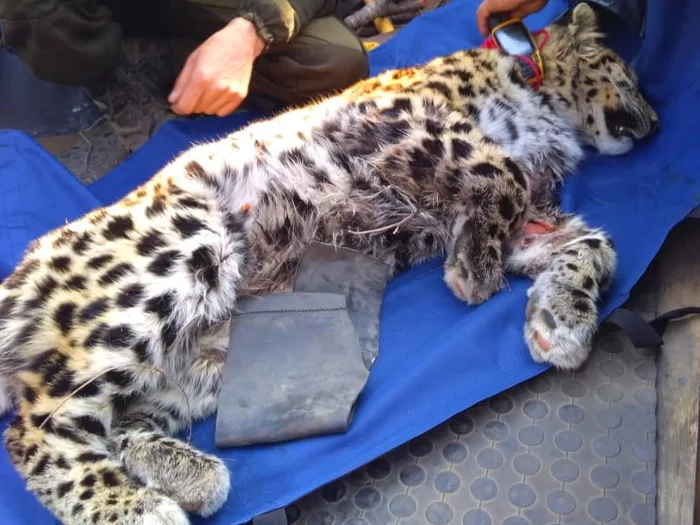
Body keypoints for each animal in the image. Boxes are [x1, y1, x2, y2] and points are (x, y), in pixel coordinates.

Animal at [0, 3, 658, 524]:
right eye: (631, 78)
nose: (654, 126)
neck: (539, 92)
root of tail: (23, 272)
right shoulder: (399, 116)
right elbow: (502, 170)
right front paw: (474, 274)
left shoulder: (524, 218)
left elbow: (595, 244)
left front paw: (561, 320)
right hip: (177, 254)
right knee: (33, 426)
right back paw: (136, 510)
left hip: (198, 363)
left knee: (125, 420)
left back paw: (192, 477)